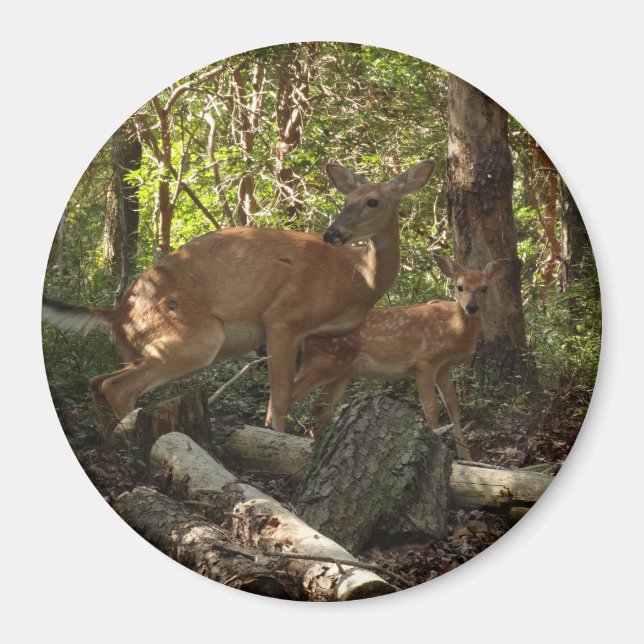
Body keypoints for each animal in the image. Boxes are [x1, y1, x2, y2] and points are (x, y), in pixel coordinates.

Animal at [42, 159, 435, 439]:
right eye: (346, 200)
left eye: (372, 201)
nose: (332, 233)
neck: (358, 278)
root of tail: (118, 313)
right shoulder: (283, 317)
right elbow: (281, 397)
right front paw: (281, 442)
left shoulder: (305, 335)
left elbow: (284, 396)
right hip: (196, 336)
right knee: (116, 386)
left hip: (142, 348)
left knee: (98, 380)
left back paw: (110, 439)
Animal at [289, 255, 509, 460]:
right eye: (460, 287)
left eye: (484, 288)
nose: (471, 307)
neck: (453, 328)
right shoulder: (424, 361)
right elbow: (430, 407)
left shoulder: (443, 367)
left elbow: (452, 405)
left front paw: (466, 457)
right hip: (325, 361)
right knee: (292, 393)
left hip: (342, 371)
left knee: (318, 407)